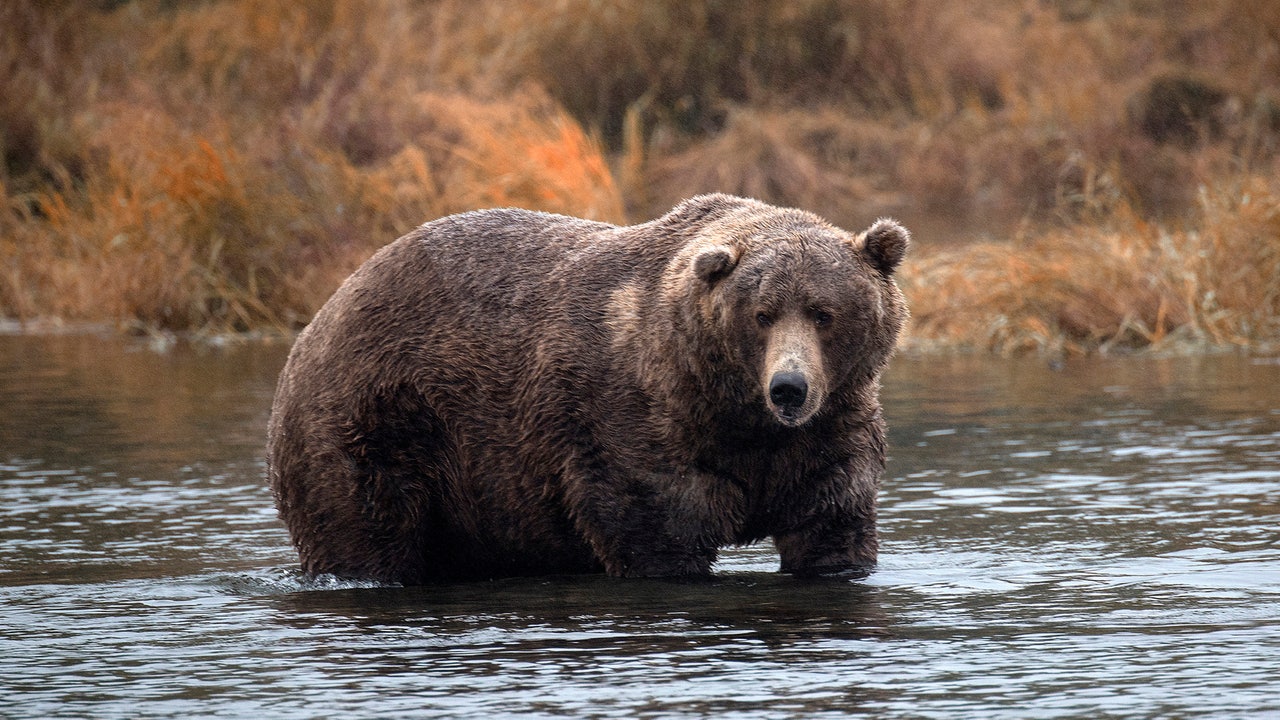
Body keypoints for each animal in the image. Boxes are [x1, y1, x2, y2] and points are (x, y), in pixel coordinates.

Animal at [266, 194, 909, 583]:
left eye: (823, 312)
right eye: (762, 314)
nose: (789, 388)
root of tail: (321, 316)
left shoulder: (826, 433)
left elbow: (830, 522)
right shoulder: (634, 425)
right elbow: (658, 531)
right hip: (379, 422)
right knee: (366, 528)